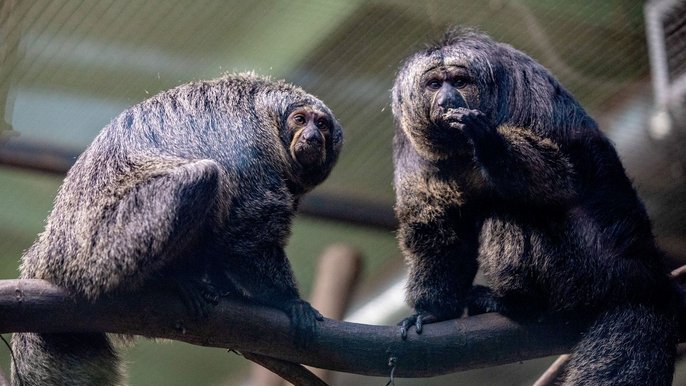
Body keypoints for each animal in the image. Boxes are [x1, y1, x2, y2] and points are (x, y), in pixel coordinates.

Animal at [10, 72, 344, 386]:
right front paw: (290, 302)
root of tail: (49, 252)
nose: (313, 136)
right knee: (203, 176)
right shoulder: (253, 150)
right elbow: (247, 235)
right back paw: (165, 281)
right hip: (103, 249)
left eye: (322, 125)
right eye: (300, 120)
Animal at [396, 28, 680, 384]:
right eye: (434, 84)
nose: (448, 99)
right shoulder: (414, 151)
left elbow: (559, 179)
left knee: (510, 212)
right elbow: (439, 230)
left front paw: (489, 143)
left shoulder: (529, 93)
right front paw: (433, 312)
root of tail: (646, 273)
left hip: (589, 266)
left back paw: (515, 302)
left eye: (459, 81)